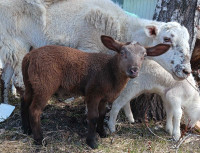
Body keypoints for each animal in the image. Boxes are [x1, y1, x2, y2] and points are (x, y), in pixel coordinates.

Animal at [21, 35, 170, 148]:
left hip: (31, 82)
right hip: (45, 84)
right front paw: (92, 142)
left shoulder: (104, 97)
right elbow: (93, 117)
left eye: (144, 55)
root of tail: (29, 56)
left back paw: (26, 129)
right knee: (35, 110)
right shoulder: (93, 93)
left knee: (25, 100)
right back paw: (39, 139)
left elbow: (102, 114)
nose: (134, 70)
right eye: (122, 53)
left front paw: (102, 133)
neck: (110, 71)